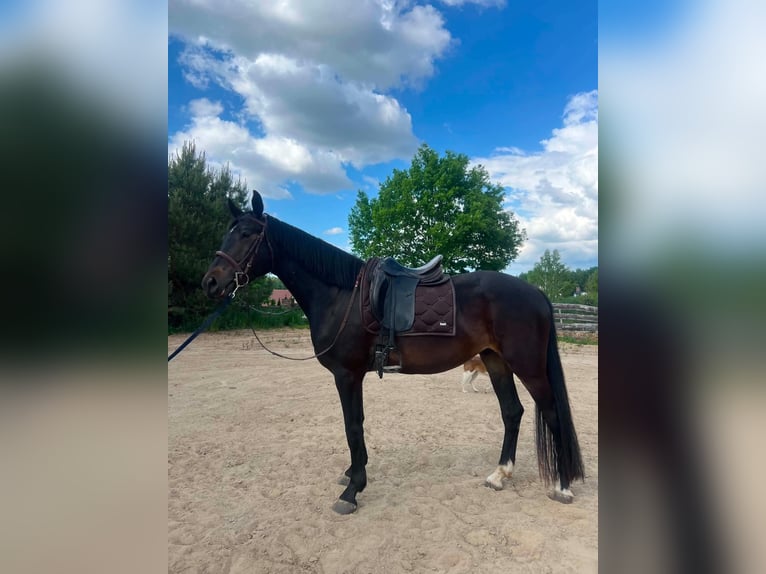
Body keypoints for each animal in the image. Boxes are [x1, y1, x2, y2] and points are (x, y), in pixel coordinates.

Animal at [201, 191, 584, 514]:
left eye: (247, 233)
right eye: (227, 233)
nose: (211, 282)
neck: (341, 297)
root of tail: (536, 292)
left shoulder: (347, 375)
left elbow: (352, 425)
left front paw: (352, 490)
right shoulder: (352, 376)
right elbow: (356, 424)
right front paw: (353, 472)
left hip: (528, 366)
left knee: (552, 413)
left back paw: (562, 486)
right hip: (495, 360)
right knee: (512, 412)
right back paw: (499, 475)